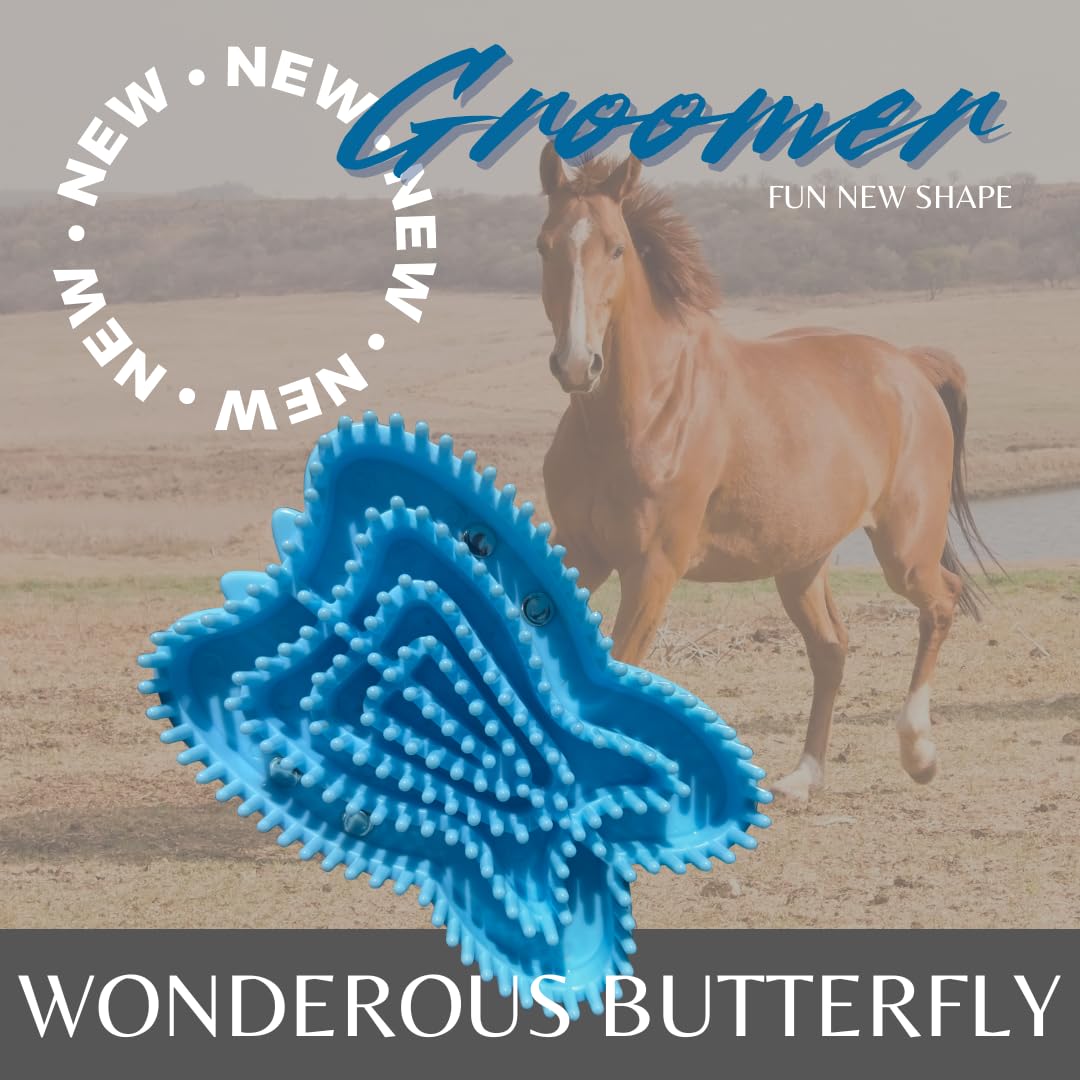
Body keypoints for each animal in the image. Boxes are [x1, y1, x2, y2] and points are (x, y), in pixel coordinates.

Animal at [535, 142, 995, 801]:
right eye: (544, 246)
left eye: (616, 248)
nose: (577, 365)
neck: (644, 409)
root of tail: (909, 365)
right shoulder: (581, 551)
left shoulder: (652, 569)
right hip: (800, 564)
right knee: (832, 649)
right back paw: (805, 775)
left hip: (904, 551)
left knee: (941, 602)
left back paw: (920, 754)